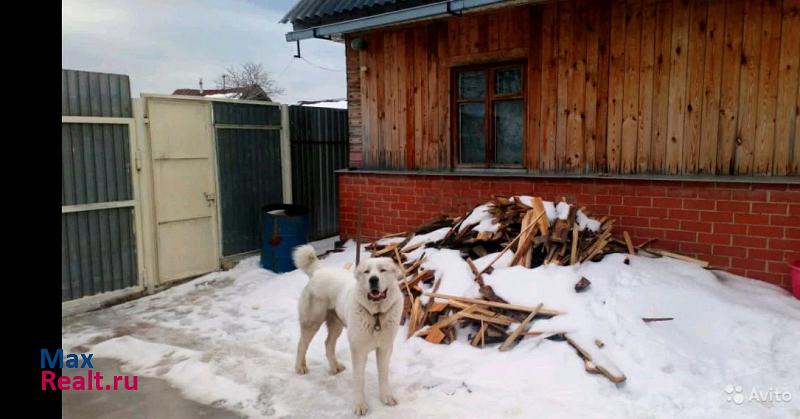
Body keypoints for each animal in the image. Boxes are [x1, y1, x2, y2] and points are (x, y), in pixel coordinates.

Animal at [292, 246, 404, 416]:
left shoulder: (385, 348)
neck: (376, 316)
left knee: (328, 344)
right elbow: (359, 380)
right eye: (366, 272)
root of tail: (319, 270)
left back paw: (335, 367)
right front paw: (360, 406)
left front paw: (386, 397)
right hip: (312, 322)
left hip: (336, 325)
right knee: (302, 345)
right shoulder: (358, 350)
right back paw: (300, 367)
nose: (373, 280)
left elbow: (383, 375)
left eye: (382, 270)